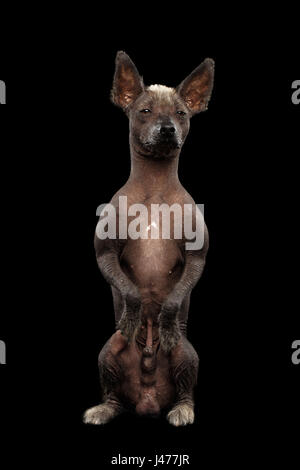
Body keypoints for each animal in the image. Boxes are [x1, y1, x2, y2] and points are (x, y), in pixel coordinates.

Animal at [83, 51, 214, 426]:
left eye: (181, 114)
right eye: (144, 111)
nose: (168, 128)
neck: (155, 187)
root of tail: (148, 401)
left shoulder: (198, 257)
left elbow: (172, 301)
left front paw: (166, 324)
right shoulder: (104, 253)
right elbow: (129, 291)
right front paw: (131, 316)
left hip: (187, 353)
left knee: (186, 389)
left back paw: (182, 410)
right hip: (108, 352)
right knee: (113, 393)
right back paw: (104, 409)